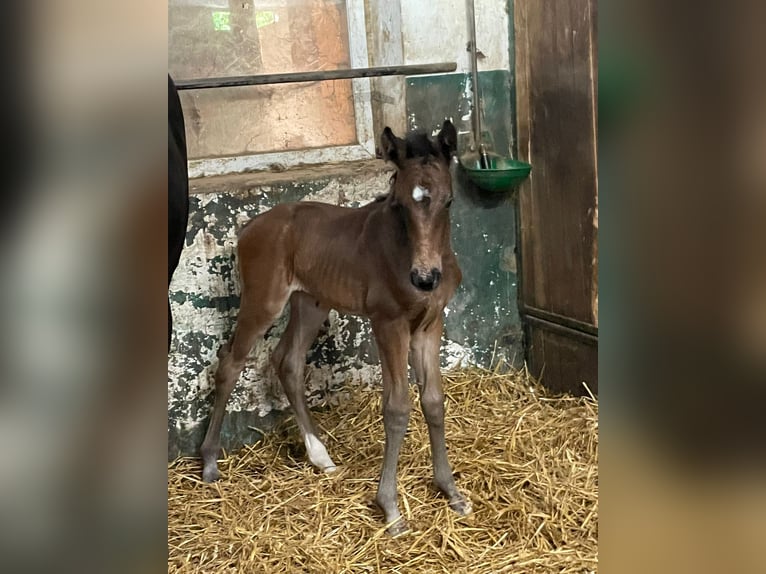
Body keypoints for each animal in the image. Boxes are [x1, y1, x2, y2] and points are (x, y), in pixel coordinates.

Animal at [201, 120, 472, 536]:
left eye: (448, 202)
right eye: (400, 204)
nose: (424, 278)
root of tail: (248, 227)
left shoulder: (429, 324)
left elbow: (433, 402)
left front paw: (451, 492)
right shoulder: (388, 323)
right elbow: (397, 407)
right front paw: (390, 509)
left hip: (310, 302)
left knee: (288, 362)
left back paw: (320, 456)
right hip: (264, 302)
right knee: (231, 361)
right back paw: (210, 462)